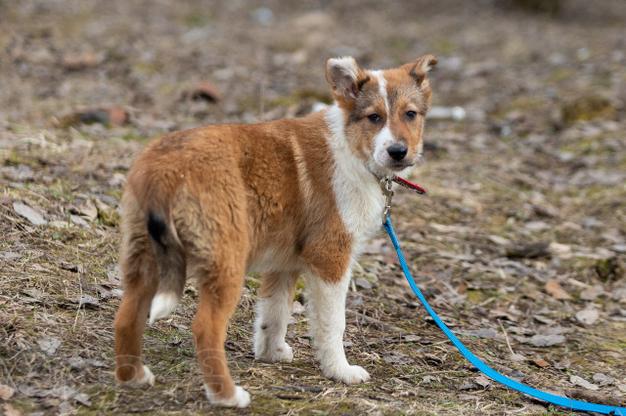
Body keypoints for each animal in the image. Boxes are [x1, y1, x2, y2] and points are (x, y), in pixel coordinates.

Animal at [113, 53, 434, 408]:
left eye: (410, 114)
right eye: (374, 117)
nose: (398, 152)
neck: (352, 149)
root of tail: (167, 171)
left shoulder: (284, 263)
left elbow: (274, 312)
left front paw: (271, 353)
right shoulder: (330, 260)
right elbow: (332, 324)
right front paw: (340, 371)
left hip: (144, 257)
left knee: (126, 316)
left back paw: (133, 377)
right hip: (226, 262)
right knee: (205, 328)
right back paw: (227, 395)